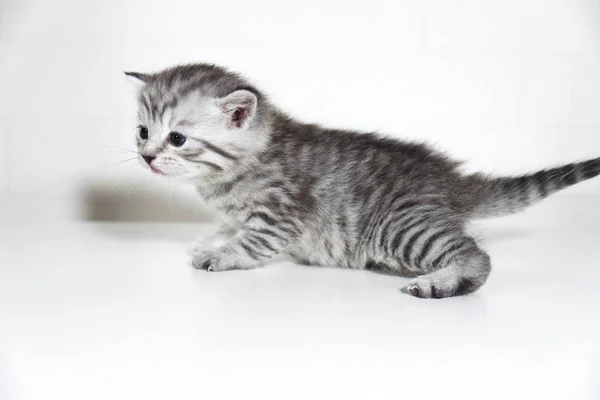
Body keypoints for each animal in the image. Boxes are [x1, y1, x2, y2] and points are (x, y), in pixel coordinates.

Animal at [124, 62, 596, 298]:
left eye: (177, 138)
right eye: (143, 132)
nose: (146, 157)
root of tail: (453, 181)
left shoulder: (281, 216)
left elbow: (253, 243)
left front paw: (221, 255)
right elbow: (230, 226)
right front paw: (214, 238)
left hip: (401, 226)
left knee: (476, 255)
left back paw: (440, 283)